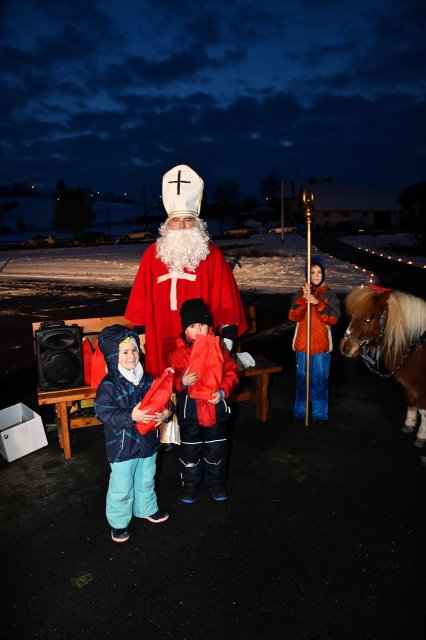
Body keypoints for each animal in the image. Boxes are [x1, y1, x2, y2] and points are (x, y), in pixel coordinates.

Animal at [340, 288, 426, 448]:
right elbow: (411, 402)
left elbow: (424, 411)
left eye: (367, 319)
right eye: (353, 315)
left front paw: (422, 436)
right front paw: (409, 424)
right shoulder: (409, 383)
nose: (345, 348)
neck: (418, 347)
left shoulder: (423, 387)